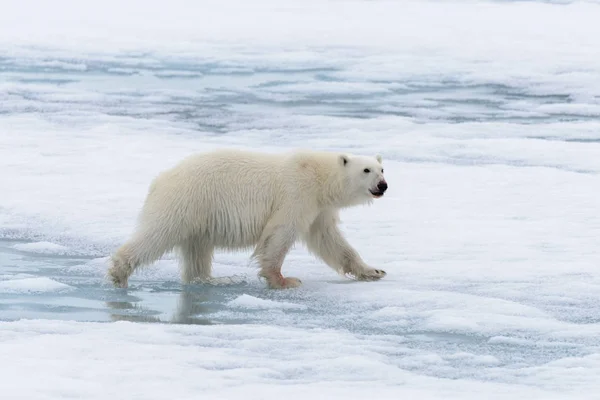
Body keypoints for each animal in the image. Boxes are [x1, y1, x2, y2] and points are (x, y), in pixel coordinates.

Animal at [108, 148, 390, 290]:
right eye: (366, 170)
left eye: (382, 169)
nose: (383, 185)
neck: (319, 176)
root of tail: (161, 178)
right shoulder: (297, 193)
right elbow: (281, 232)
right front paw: (283, 280)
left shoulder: (319, 209)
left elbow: (330, 240)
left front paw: (373, 271)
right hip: (187, 200)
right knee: (158, 234)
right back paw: (119, 272)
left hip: (199, 215)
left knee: (197, 250)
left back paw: (210, 279)